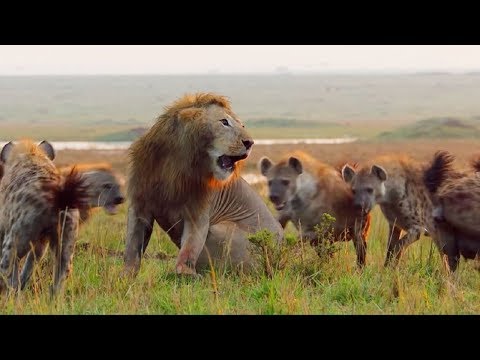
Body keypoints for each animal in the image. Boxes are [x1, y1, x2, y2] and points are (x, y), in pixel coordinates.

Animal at [123, 93, 284, 276]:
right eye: (224, 122)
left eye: (242, 125)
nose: (250, 142)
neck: (174, 165)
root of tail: (277, 259)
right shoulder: (139, 205)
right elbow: (132, 248)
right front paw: (125, 276)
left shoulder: (198, 212)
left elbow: (190, 248)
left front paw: (186, 273)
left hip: (222, 229)